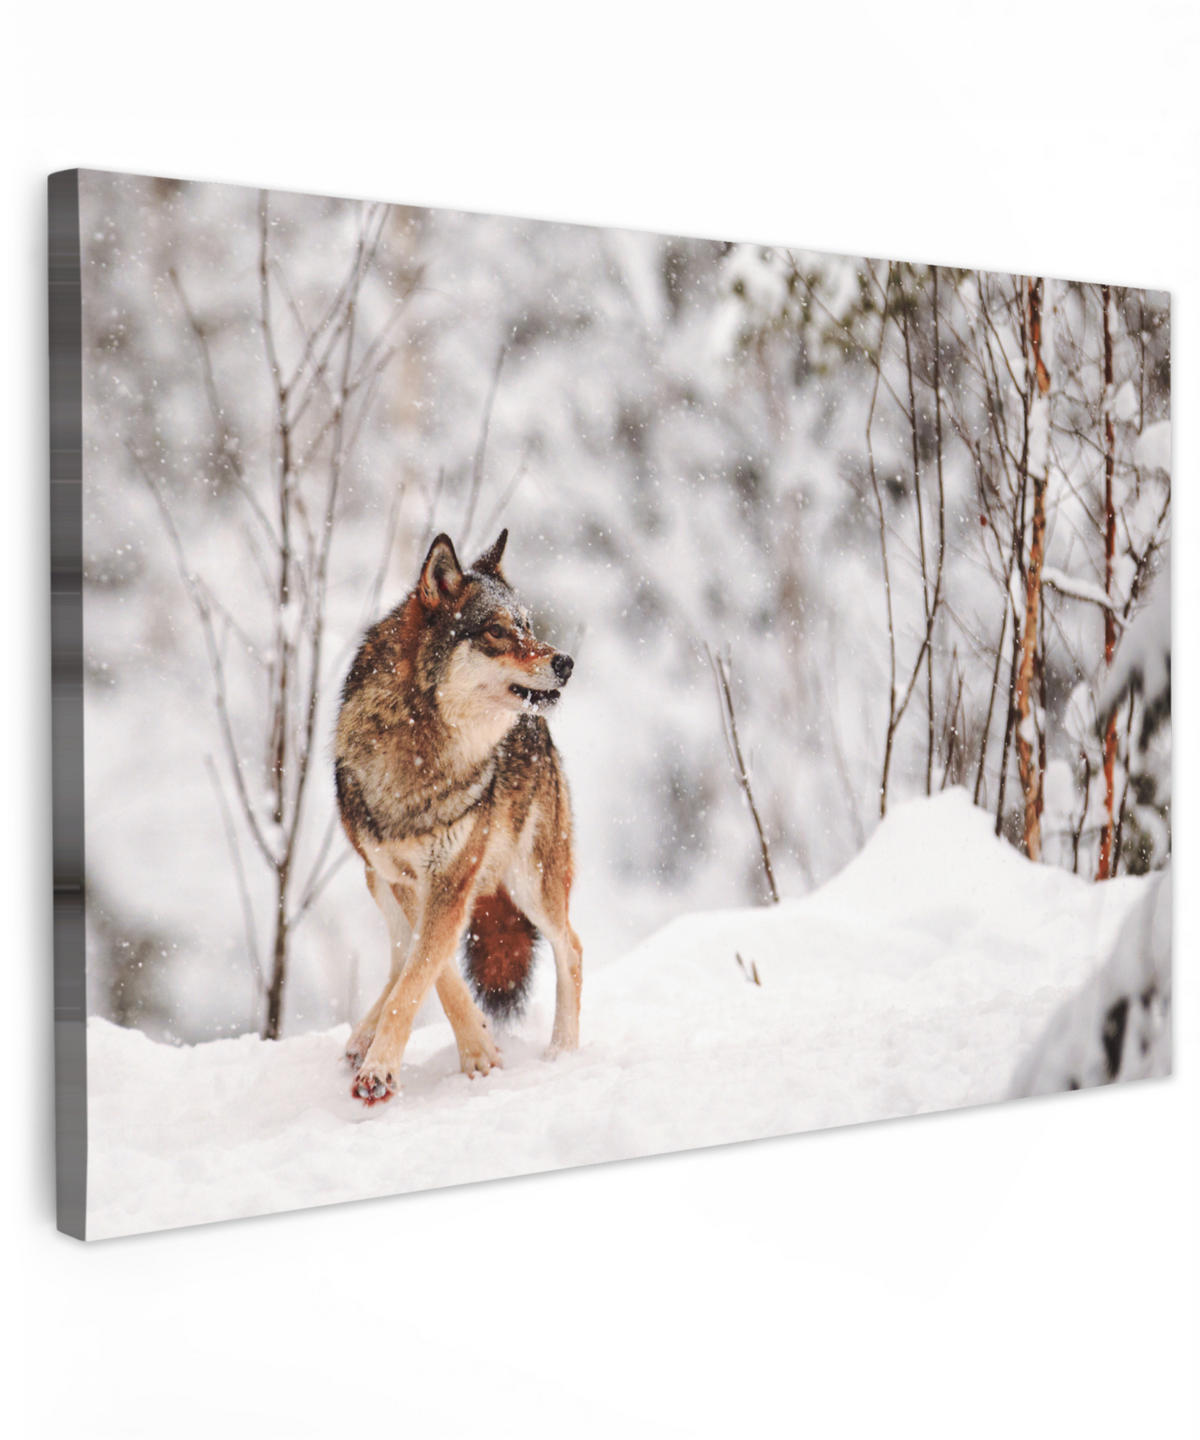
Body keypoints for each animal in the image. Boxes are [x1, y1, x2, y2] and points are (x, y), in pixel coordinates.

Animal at [334, 529, 582, 1106]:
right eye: (496, 630)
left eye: (528, 626)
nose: (565, 662)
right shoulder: (407, 879)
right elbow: (431, 971)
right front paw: (477, 1049)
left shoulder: (451, 878)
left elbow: (422, 974)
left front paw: (384, 1070)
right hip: (375, 879)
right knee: (401, 954)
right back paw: (360, 1037)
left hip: (532, 884)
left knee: (573, 948)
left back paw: (562, 1053)